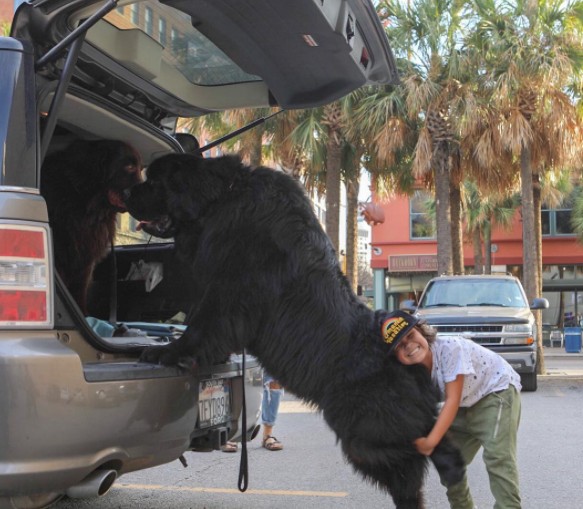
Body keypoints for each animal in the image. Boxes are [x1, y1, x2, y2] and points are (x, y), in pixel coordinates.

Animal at [125, 155, 464, 508]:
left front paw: (166, 352)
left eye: (154, 181)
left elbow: (201, 327)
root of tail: (409, 359)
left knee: (412, 467)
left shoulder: (228, 290)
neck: (223, 196)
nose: (125, 191)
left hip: (367, 433)